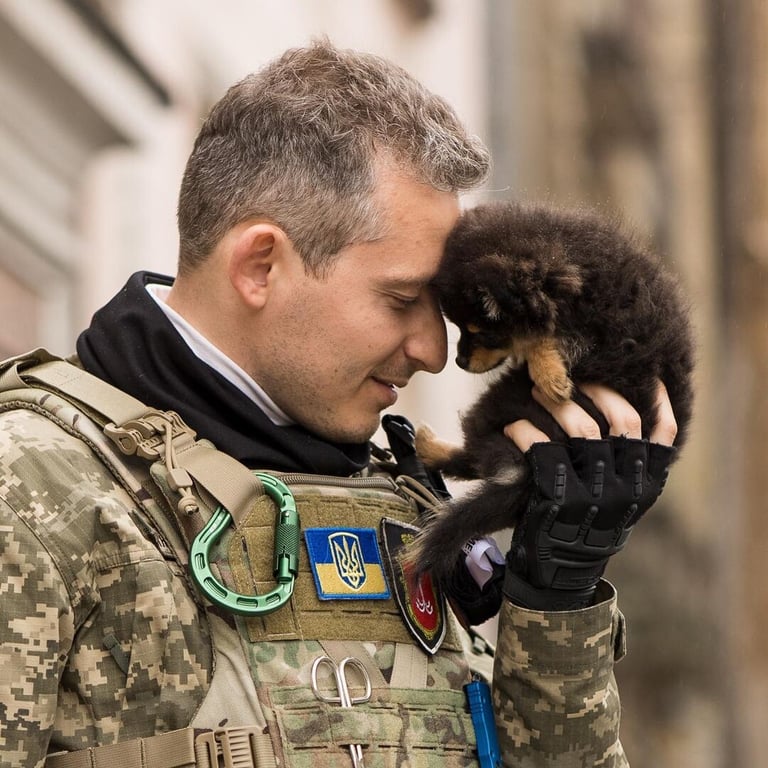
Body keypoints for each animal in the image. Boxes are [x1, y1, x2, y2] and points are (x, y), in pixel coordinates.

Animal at [408, 201, 696, 580]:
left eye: (482, 332)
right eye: (459, 328)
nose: (459, 360)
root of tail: (523, 476)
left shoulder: (613, 341)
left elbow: (549, 340)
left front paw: (549, 375)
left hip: (502, 403)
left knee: (474, 454)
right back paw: (428, 446)